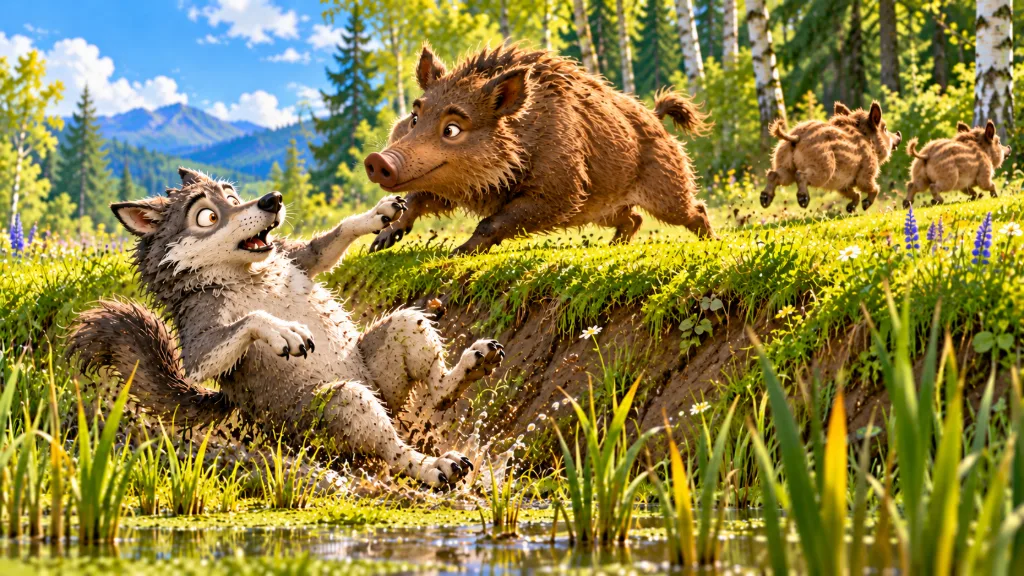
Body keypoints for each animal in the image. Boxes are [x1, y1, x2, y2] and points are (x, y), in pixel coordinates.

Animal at [67, 168, 504, 487]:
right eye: (207, 215)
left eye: (231, 197)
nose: (272, 199)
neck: (245, 274)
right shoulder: (198, 336)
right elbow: (243, 328)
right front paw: (284, 332)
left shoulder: (298, 258)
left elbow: (330, 241)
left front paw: (378, 213)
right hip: (340, 403)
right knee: (391, 451)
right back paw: (432, 466)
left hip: (400, 339)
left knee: (432, 384)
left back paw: (469, 369)